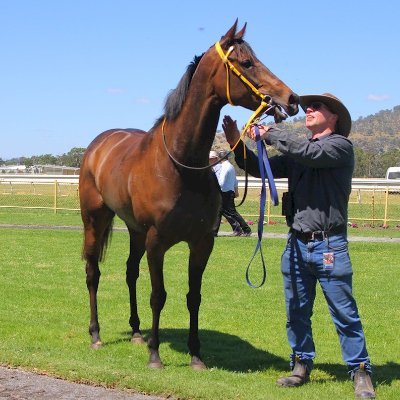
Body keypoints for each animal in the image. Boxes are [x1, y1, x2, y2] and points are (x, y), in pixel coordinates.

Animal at [79, 21, 296, 368]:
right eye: (247, 62)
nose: (290, 98)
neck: (182, 164)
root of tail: (98, 145)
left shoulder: (201, 242)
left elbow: (194, 297)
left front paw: (195, 354)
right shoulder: (157, 243)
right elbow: (158, 295)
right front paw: (155, 355)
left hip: (135, 230)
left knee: (130, 272)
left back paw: (137, 332)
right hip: (94, 220)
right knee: (92, 272)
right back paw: (96, 334)